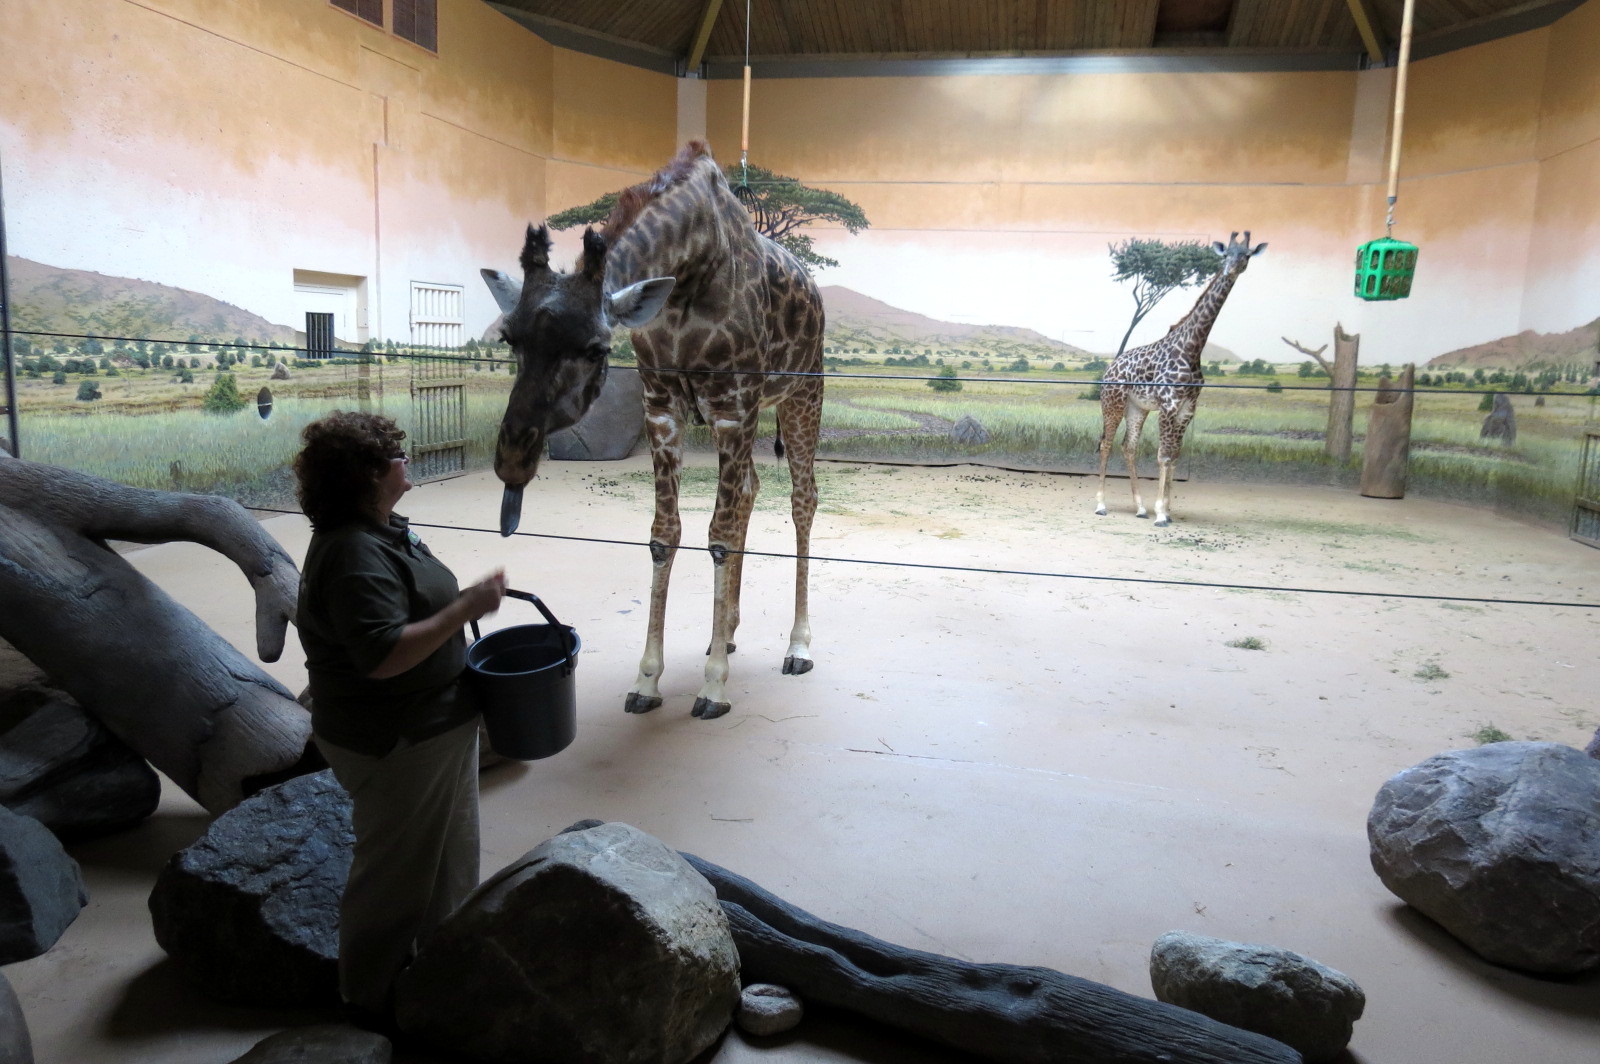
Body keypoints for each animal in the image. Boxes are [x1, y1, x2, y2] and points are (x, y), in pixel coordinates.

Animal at [490, 141, 825, 721]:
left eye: (596, 347)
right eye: (510, 337)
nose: (512, 456)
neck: (690, 270)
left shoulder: (733, 403)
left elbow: (717, 536)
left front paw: (713, 687)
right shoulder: (663, 405)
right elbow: (664, 534)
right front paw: (647, 680)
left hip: (801, 396)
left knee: (801, 498)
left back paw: (798, 646)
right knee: (750, 492)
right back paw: (725, 633)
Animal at [1094, 231, 1266, 527]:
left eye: (1246, 255)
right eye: (1226, 254)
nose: (1232, 269)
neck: (1192, 348)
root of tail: (1109, 368)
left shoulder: (1188, 408)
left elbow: (1174, 455)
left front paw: (1166, 509)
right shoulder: (1168, 404)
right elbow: (1163, 456)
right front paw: (1161, 514)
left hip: (1137, 407)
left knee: (1129, 447)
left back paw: (1140, 508)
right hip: (1113, 402)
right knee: (1106, 444)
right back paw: (1102, 504)